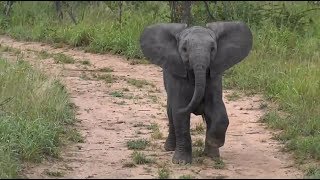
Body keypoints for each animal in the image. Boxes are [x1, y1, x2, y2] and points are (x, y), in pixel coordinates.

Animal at [139, 21, 252, 165]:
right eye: (184, 49)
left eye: (212, 49)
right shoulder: (177, 78)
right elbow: (180, 115)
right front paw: (181, 162)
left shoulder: (215, 75)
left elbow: (217, 109)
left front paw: (213, 145)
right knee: (171, 113)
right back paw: (169, 148)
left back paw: (212, 155)